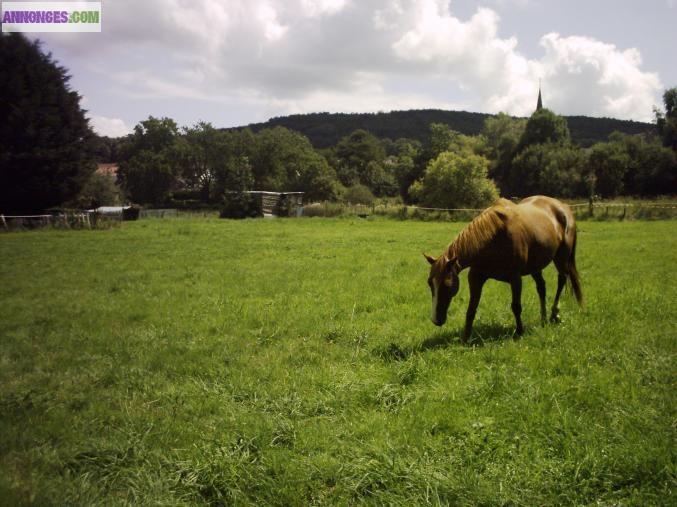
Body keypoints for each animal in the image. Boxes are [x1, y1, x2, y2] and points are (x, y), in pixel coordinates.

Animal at [426, 196, 584, 344]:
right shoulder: (476, 278)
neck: (494, 236)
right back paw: (543, 318)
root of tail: (563, 207)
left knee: (561, 279)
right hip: (535, 266)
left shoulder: (515, 278)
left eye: (447, 285)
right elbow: (471, 309)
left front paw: (519, 331)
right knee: (541, 287)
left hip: (561, 257)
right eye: (430, 283)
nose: (435, 320)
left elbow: (516, 306)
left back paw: (554, 314)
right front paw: (465, 338)